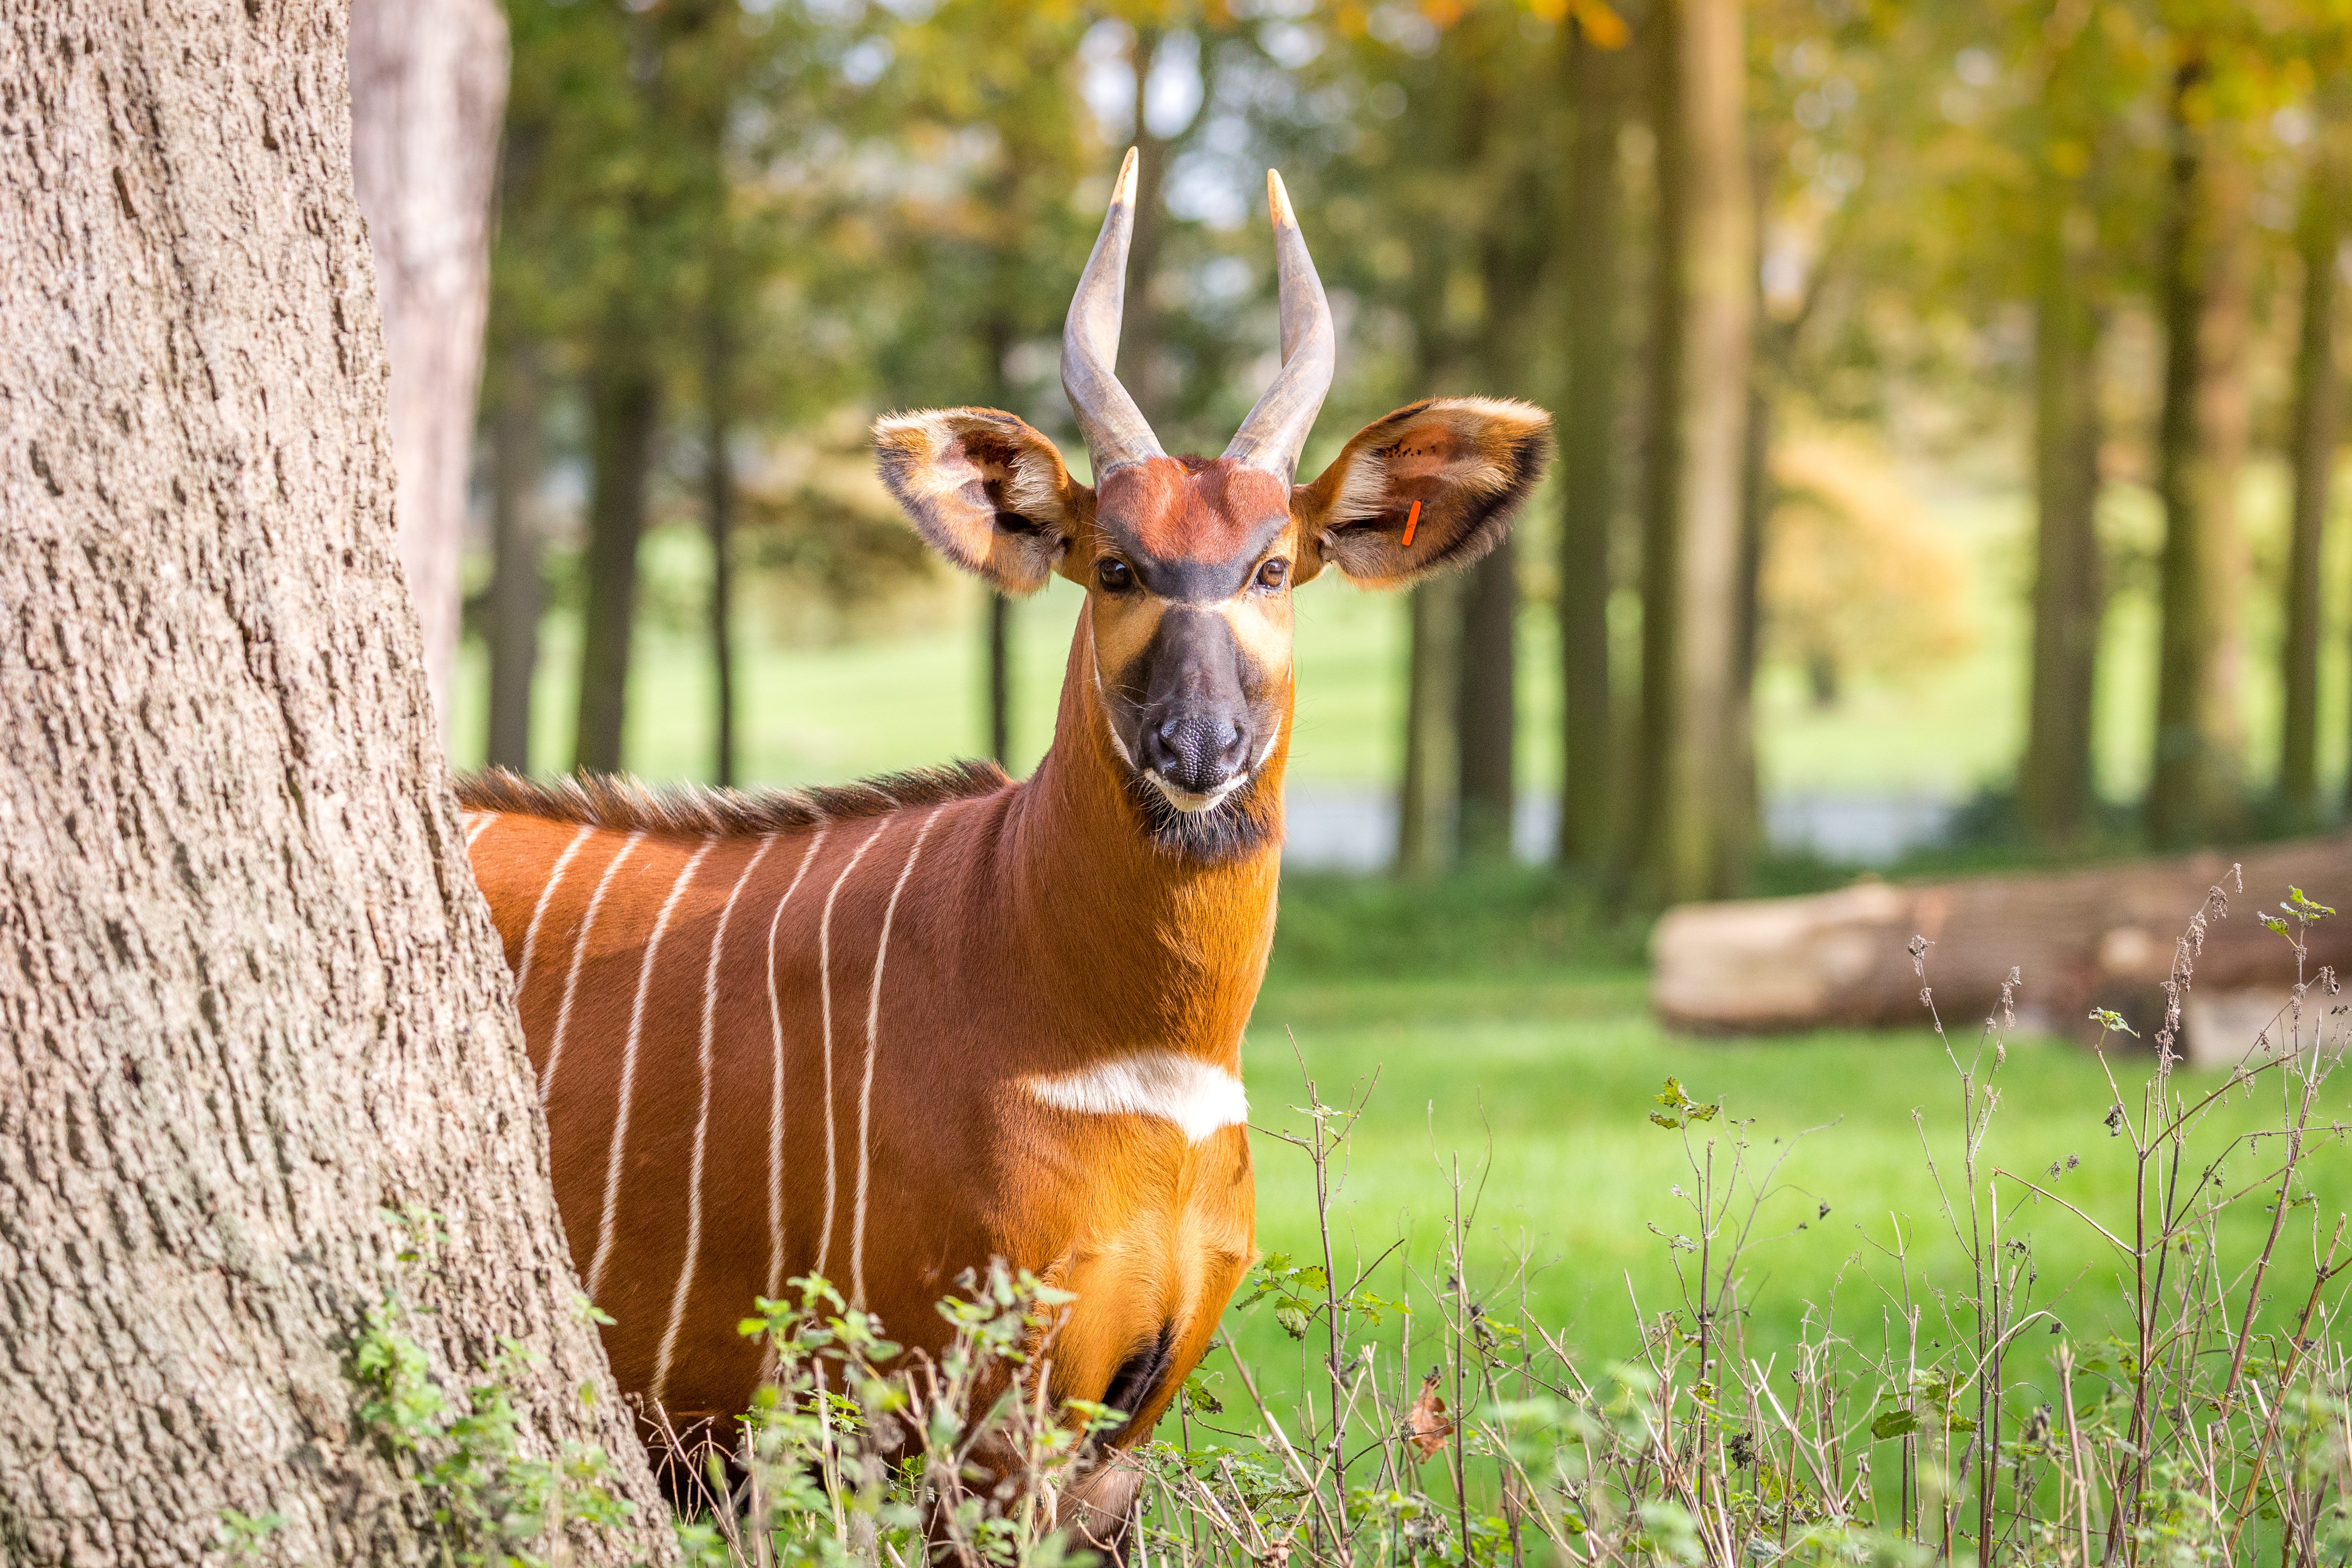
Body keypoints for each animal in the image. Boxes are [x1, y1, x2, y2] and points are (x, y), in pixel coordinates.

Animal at [468, 150, 1552, 1533]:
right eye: (1114, 565)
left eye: (1271, 567)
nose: (1196, 746)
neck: (1121, 1045)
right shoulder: (968, 1429)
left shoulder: (1112, 1444)